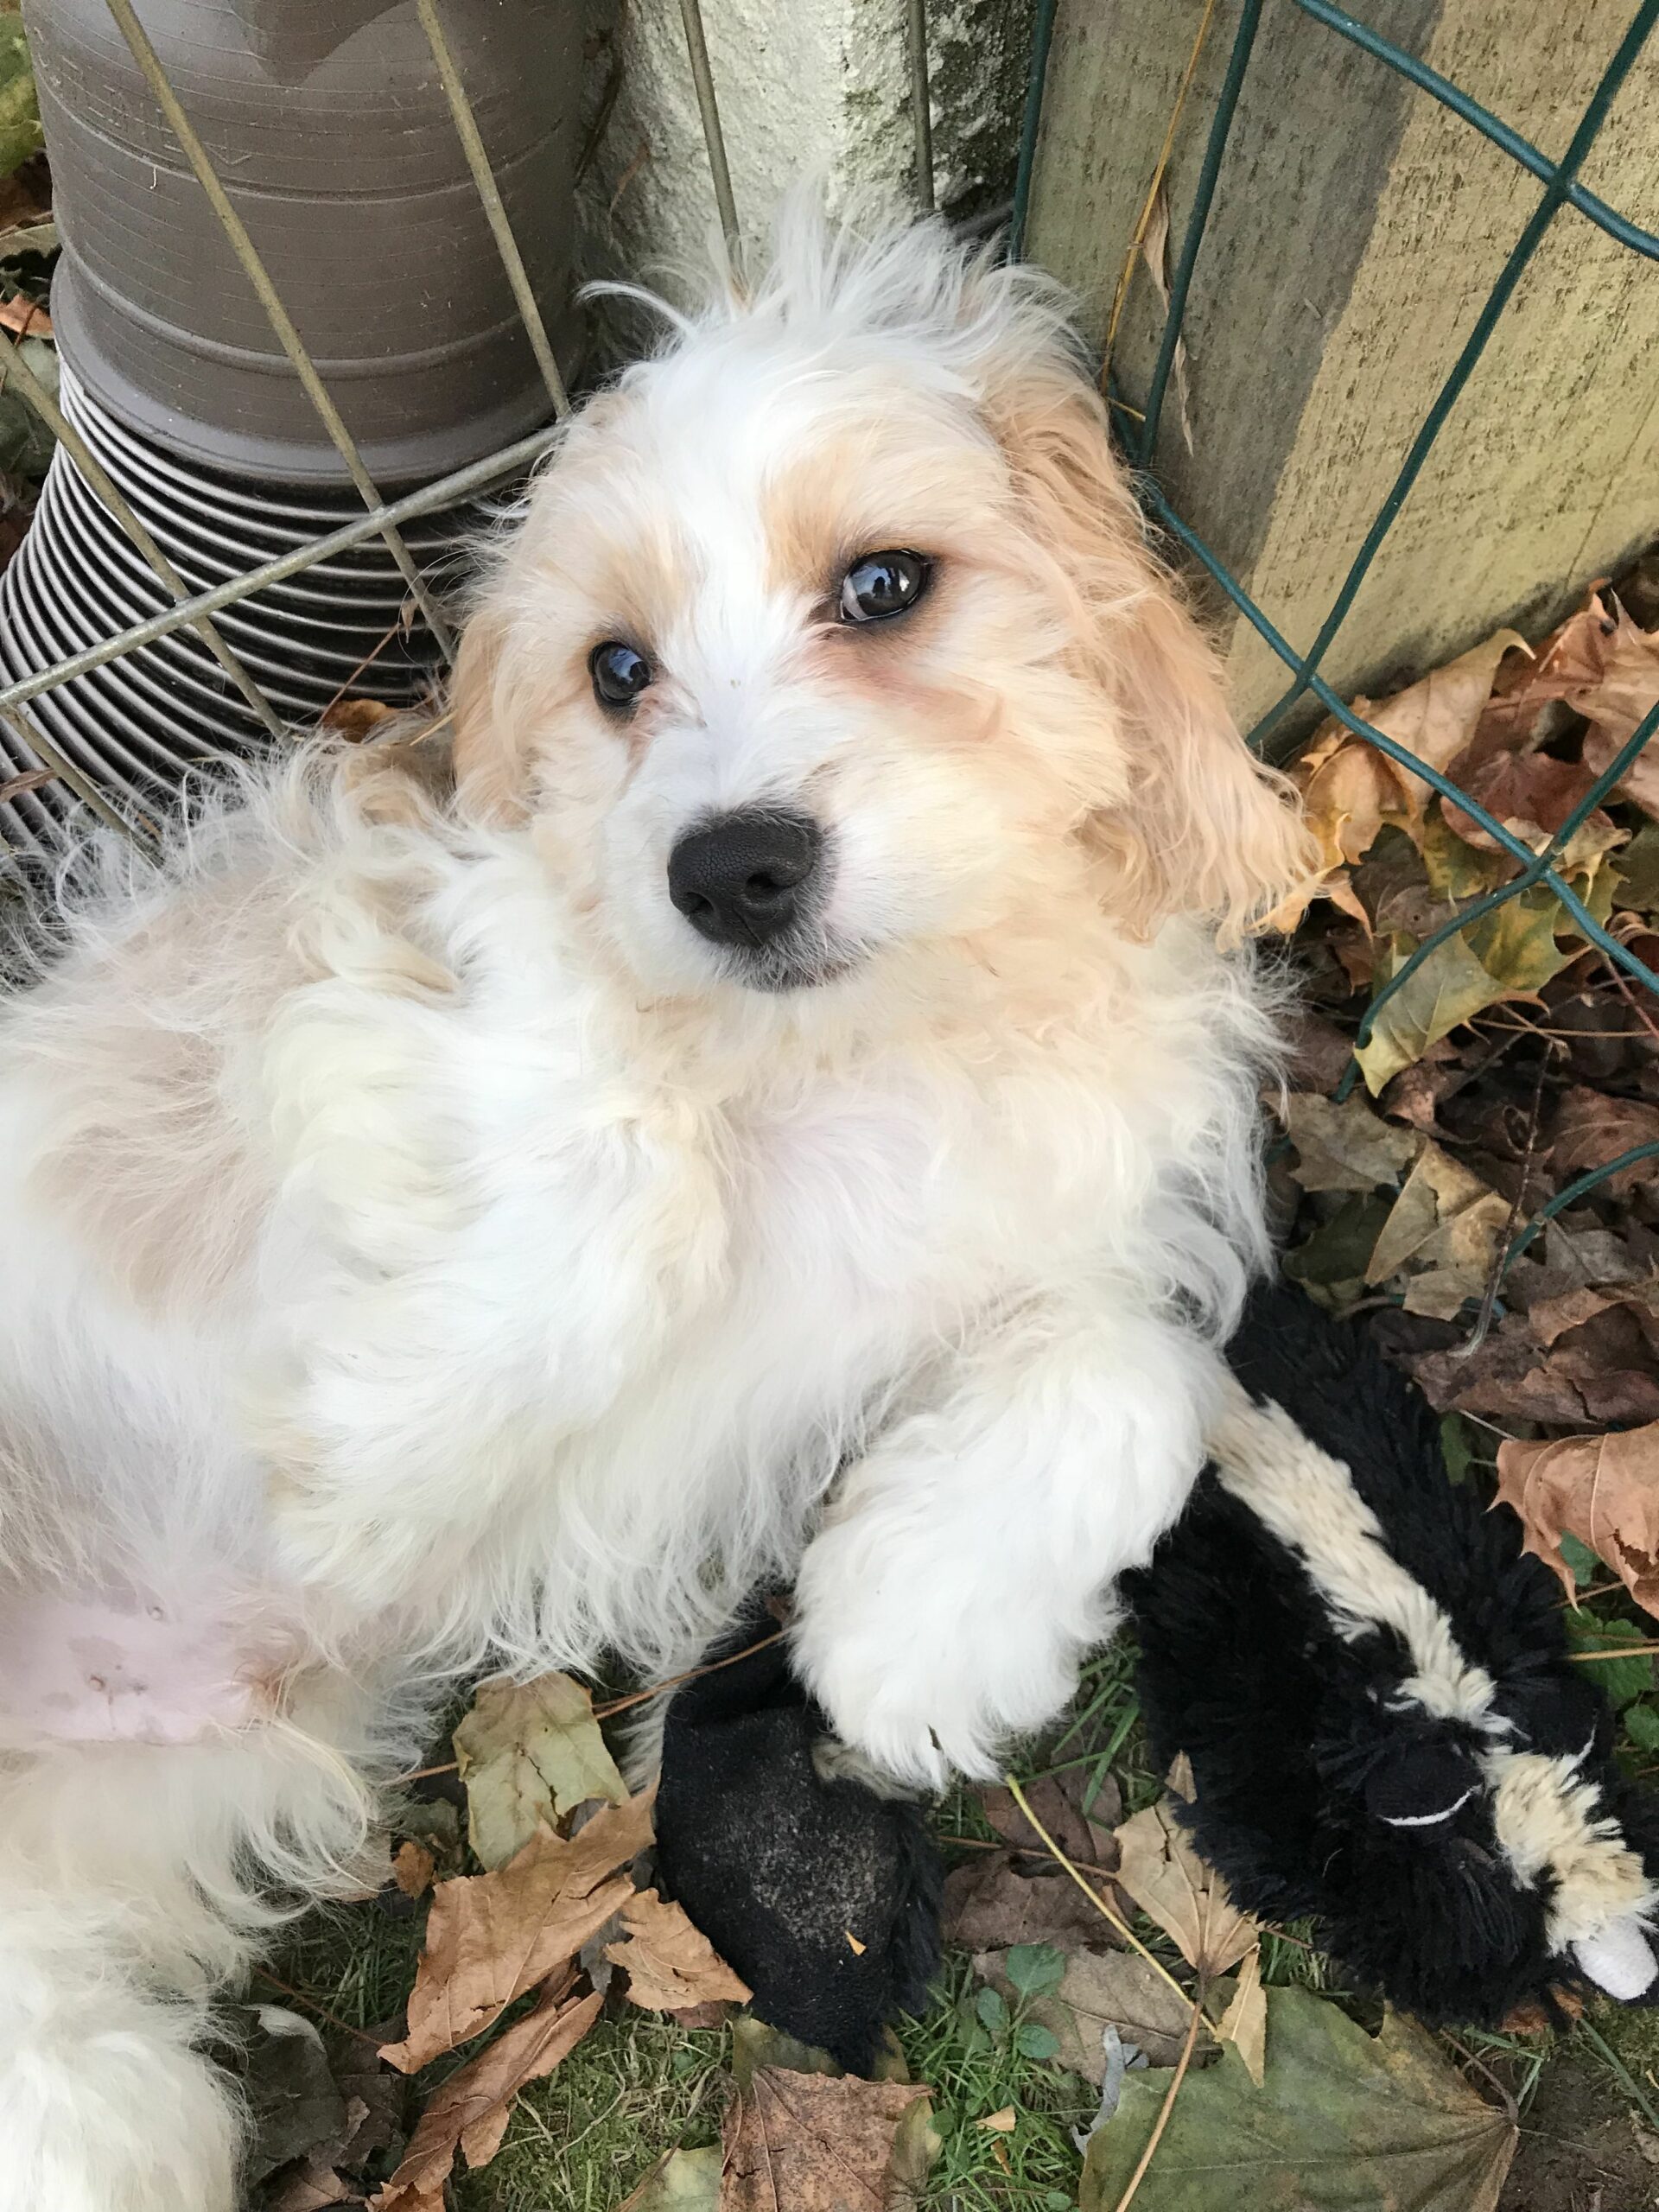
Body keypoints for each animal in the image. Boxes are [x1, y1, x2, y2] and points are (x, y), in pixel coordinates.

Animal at [0, 199, 1309, 2202]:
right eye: (617, 672)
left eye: (884, 585)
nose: (732, 869)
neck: (861, 1049)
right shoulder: (414, 980)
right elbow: (629, 1158)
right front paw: (392, 1466)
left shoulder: (1078, 1233)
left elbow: (1131, 1372)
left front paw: (919, 1630)